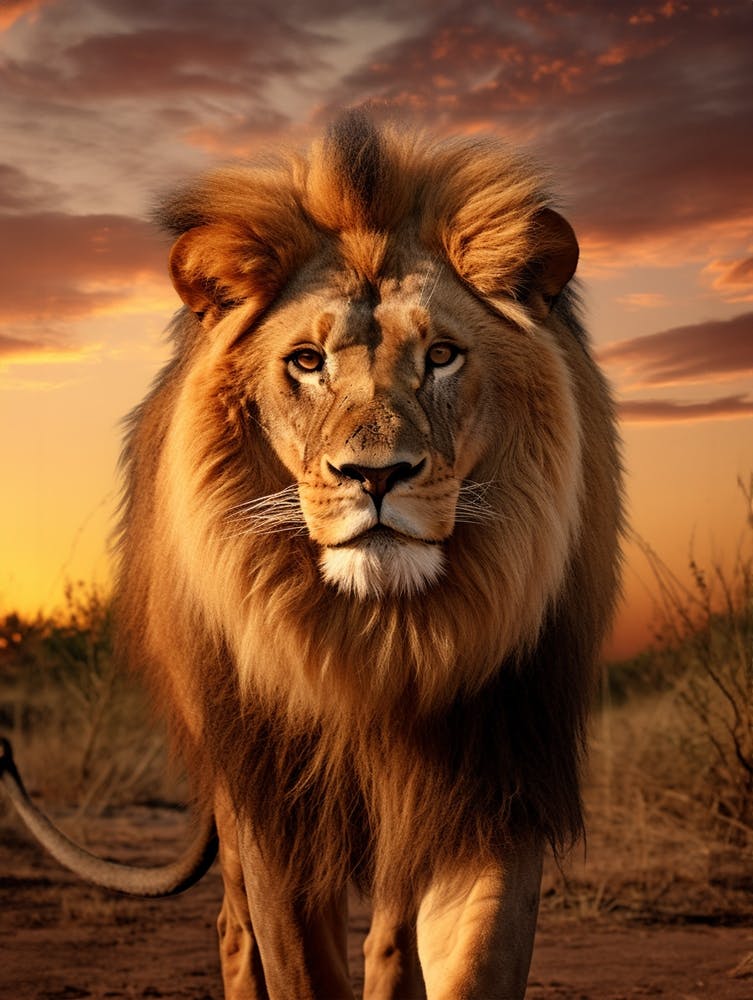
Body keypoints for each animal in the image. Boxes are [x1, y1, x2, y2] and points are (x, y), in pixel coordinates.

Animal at [1, 109, 622, 998]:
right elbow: (296, 963)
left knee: (389, 932)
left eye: (441, 355)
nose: (376, 474)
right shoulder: (276, 815)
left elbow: (471, 962)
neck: (379, 645)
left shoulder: (494, 788)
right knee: (233, 928)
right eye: (305, 362)